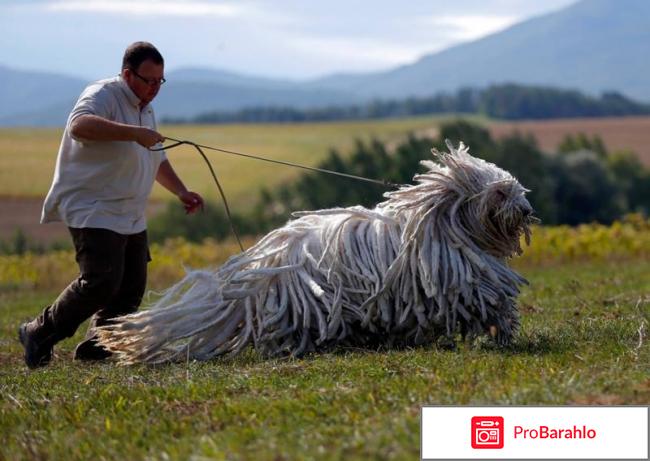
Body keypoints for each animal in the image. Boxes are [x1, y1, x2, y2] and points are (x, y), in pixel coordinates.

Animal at [95, 140, 532, 362]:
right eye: (499, 193)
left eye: (516, 187)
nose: (526, 210)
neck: (442, 222)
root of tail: (259, 266)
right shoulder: (460, 279)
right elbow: (488, 299)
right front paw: (503, 330)